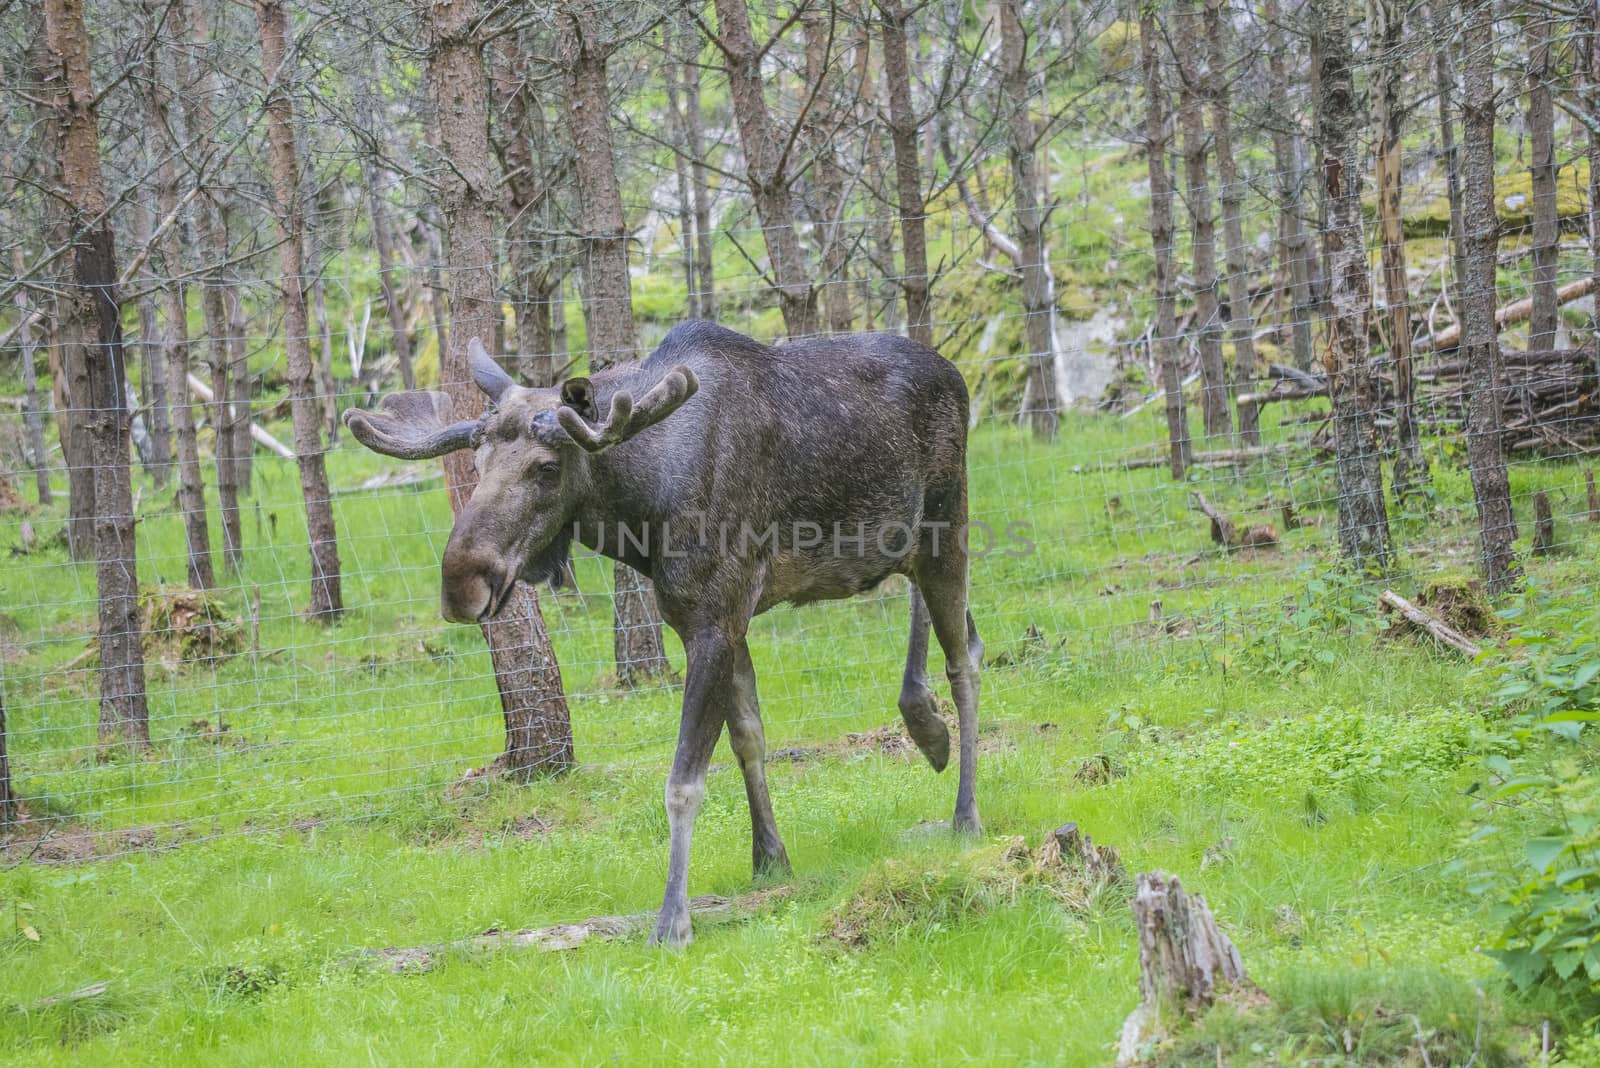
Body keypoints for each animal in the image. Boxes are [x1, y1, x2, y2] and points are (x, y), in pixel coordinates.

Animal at [344, 321, 979, 946]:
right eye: (474, 464)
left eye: (547, 468)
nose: (461, 585)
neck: (643, 513)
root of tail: (957, 374)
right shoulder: (721, 620)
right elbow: (748, 739)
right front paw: (769, 858)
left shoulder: (714, 623)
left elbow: (683, 782)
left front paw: (672, 919)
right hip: (904, 543)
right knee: (959, 629)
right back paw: (926, 726)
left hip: (947, 527)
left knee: (965, 664)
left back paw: (965, 811)